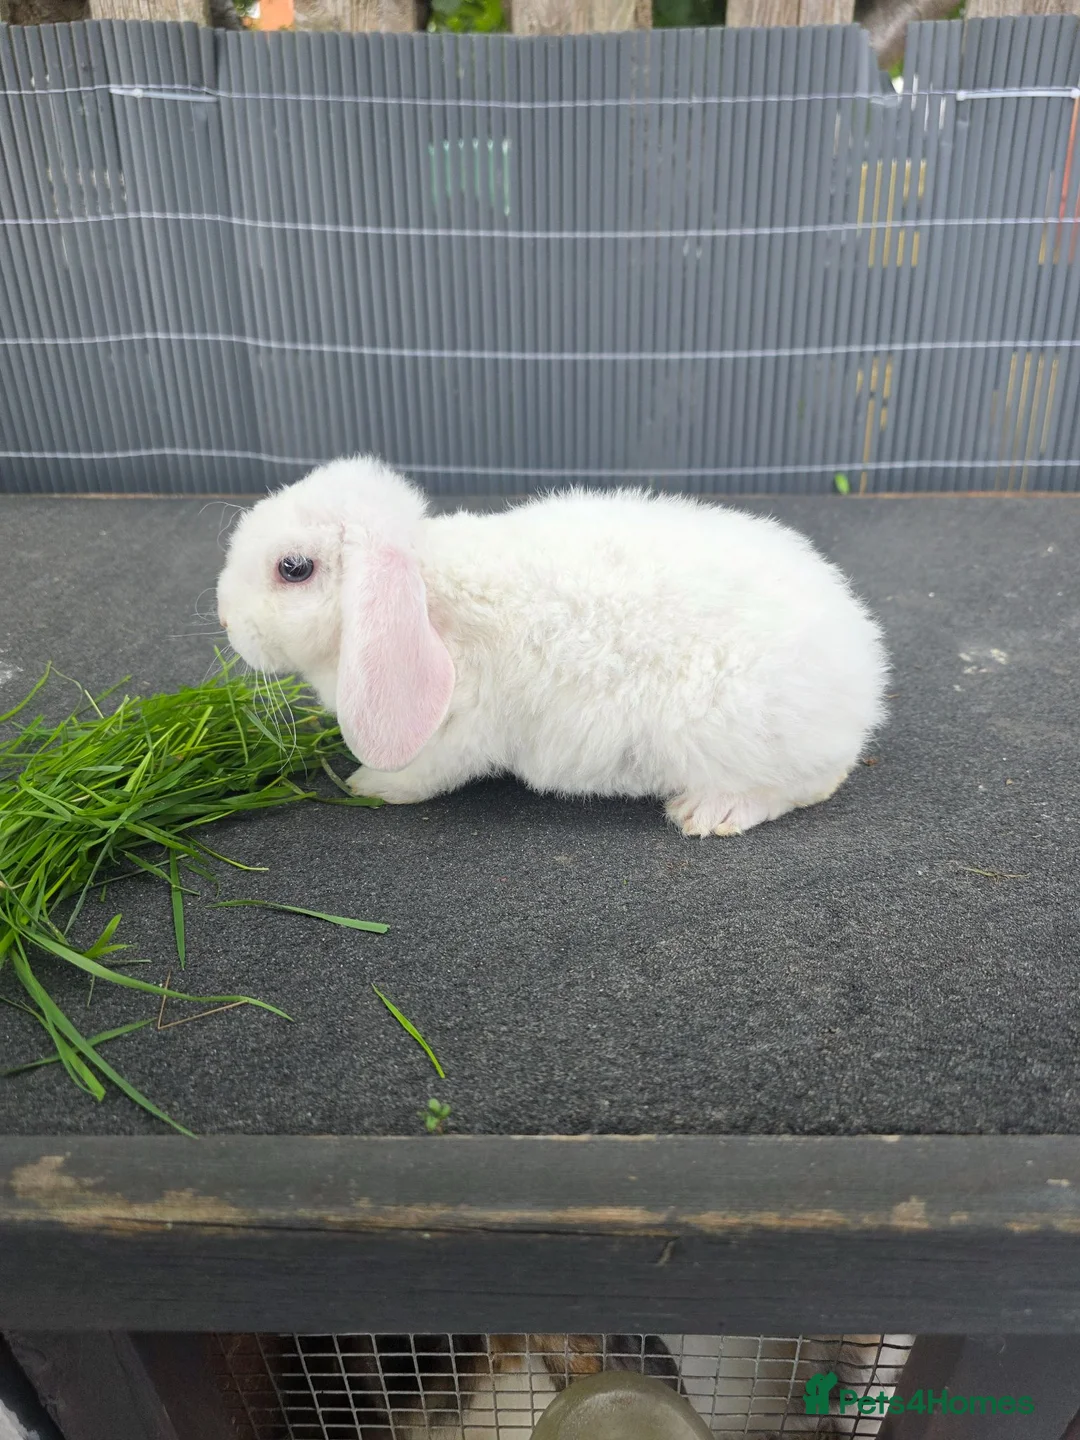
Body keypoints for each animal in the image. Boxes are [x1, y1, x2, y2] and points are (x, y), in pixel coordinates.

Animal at [215, 456, 888, 837]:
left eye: (293, 569)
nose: (224, 617)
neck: (427, 600)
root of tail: (864, 669)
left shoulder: (459, 731)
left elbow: (421, 775)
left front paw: (367, 786)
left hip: (739, 733)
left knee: (806, 785)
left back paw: (709, 814)